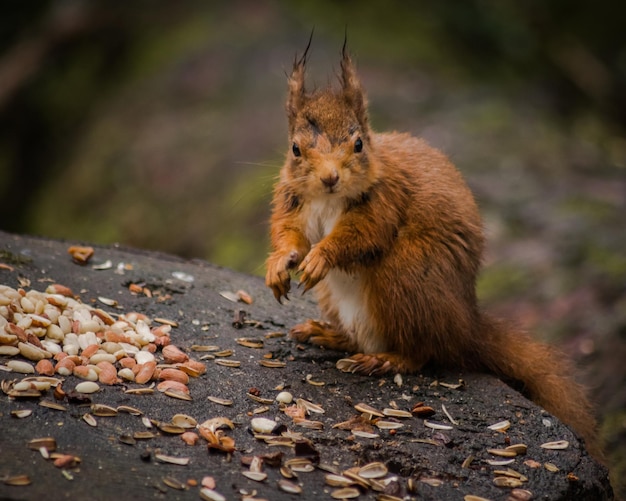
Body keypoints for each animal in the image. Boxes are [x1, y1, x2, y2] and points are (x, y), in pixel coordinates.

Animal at [264, 43, 600, 458]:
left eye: (359, 144)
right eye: (295, 148)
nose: (330, 178)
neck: (328, 200)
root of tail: (467, 327)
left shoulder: (384, 203)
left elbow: (362, 235)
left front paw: (320, 258)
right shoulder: (294, 203)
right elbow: (289, 234)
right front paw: (279, 266)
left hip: (407, 276)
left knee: (423, 352)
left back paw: (385, 359)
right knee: (365, 337)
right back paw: (328, 334)